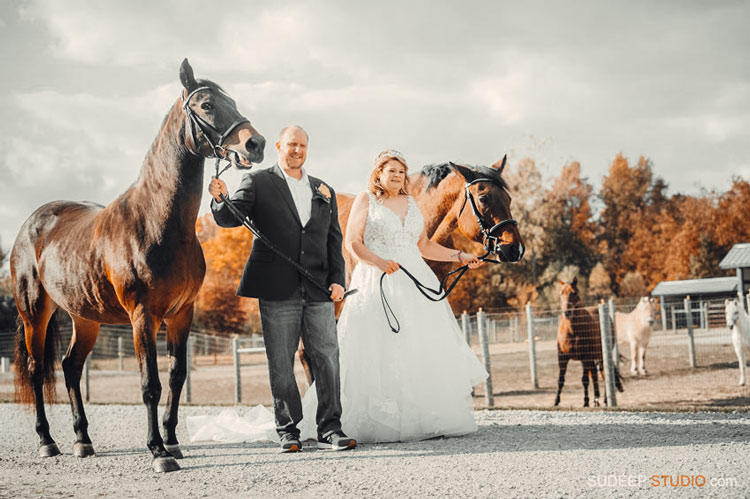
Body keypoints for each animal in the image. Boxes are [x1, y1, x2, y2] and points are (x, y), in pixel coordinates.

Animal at [11, 59, 268, 472]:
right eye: (208, 105)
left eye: (232, 101)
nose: (255, 144)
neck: (157, 221)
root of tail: (31, 224)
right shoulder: (143, 316)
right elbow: (150, 383)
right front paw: (158, 452)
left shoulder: (182, 313)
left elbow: (177, 376)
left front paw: (173, 441)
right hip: (35, 312)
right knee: (37, 372)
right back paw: (47, 441)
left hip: (85, 317)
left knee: (70, 367)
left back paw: (82, 440)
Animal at [556, 280, 624, 408]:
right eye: (561, 293)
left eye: (574, 292)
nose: (567, 312)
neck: (572, 331)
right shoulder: (562, 357)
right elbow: (561, 380)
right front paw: (556, 401)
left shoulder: (585, 357)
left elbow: (585, 380)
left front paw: (585, 402)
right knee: (594, 374)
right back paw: (596, 399)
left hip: (600, 356)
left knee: (603, 373)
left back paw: (605, 400)